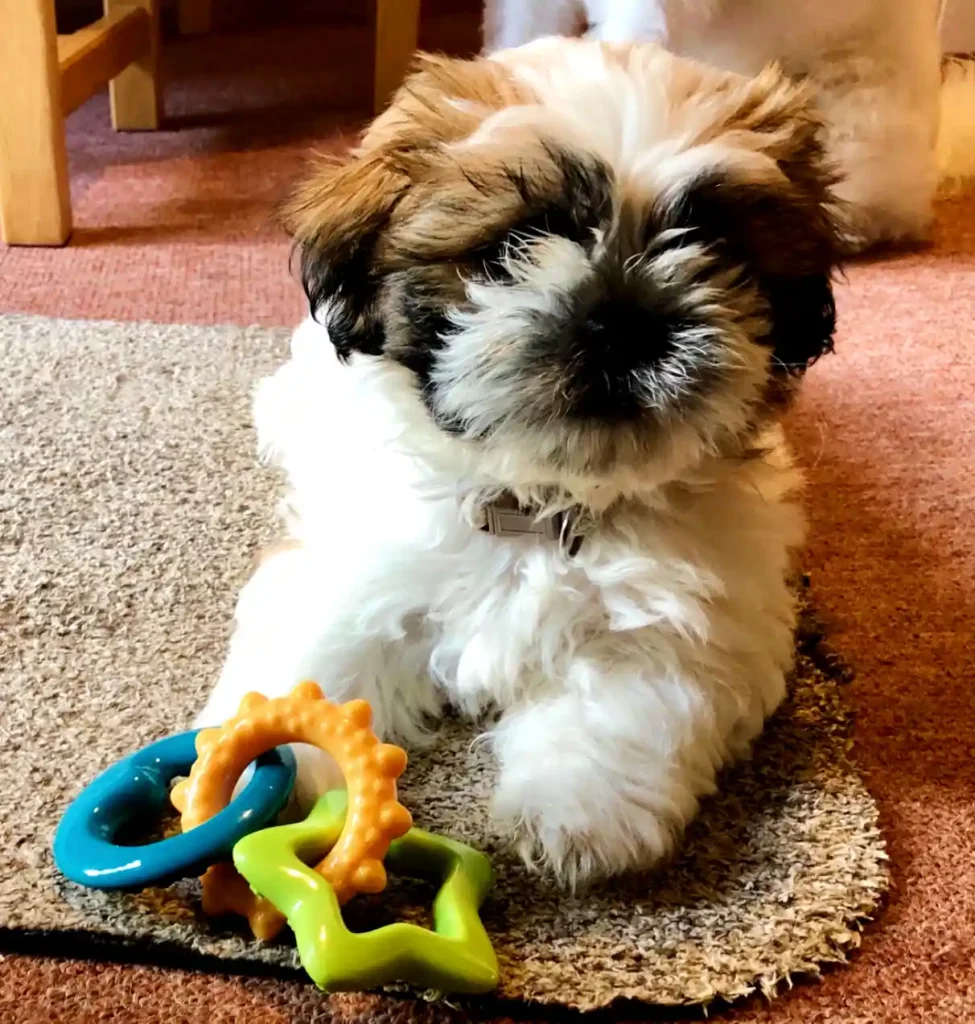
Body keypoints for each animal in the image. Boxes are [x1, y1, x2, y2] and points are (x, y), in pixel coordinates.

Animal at [194, 37, 839, 888]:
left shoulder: (699, 618)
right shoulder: (350, 570)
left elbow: (630, 701)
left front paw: (582, 811)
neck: (538, 501)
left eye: (713, 246)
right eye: (511, 248)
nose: (621, 318)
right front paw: (268, 776)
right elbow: (310, 663)